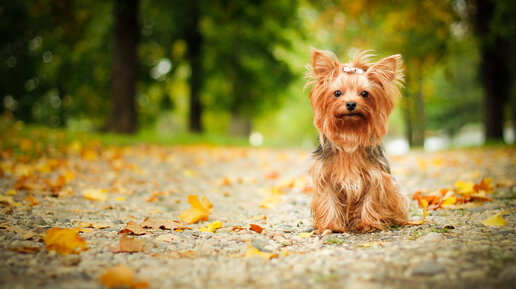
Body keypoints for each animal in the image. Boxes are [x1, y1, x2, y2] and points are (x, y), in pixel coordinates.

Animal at [304, 47, 410, 232]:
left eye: (365, 93)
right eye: (337, 93)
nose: (351, 104)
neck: (350, 135)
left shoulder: (376, 178)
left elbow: (371, 199)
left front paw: (368, 223)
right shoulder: (325, 178)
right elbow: (329, 200)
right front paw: (331, 225)